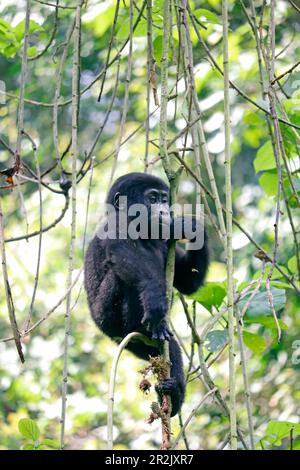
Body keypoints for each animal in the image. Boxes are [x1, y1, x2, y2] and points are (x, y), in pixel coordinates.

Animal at [83, 172, 207, 414]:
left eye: (163, 199)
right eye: (152, 199)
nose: (164, 211)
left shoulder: (165, 241)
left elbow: (188, 282)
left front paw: (192, 228)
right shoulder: (117, 225)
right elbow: (126, 256)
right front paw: (156, 303)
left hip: (138, 345)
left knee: (170, 348)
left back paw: (174, 394)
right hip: (110, 322)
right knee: (124, 277)